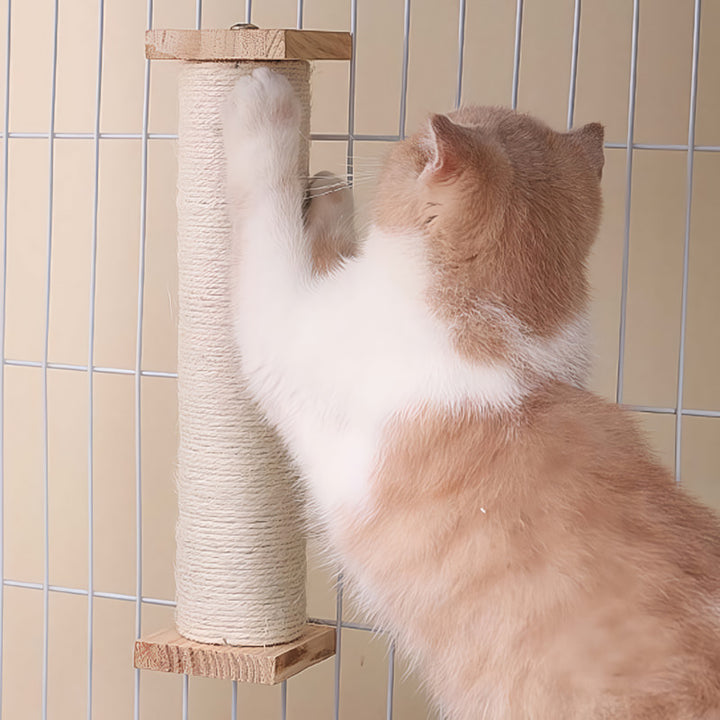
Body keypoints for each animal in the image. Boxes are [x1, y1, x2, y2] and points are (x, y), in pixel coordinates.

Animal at [224, 69, 720, 720]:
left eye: (413, 142)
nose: (401, 141)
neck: (509, 338)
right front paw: (329, 193)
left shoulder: (279, 326)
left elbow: (270, 218)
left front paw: (267, 104)